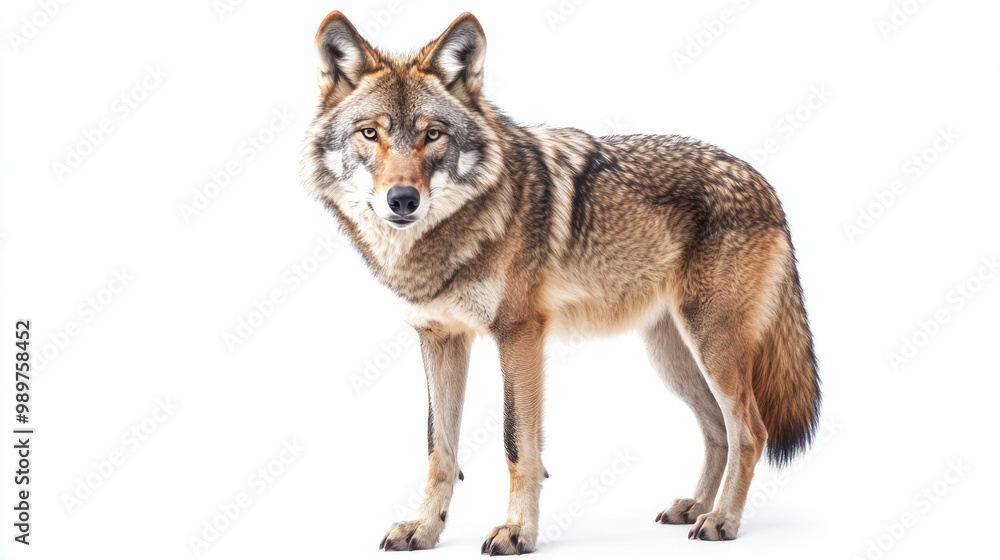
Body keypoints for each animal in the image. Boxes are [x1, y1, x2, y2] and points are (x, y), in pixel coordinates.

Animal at [302, 11, 820, 554]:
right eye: (369, 133)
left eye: (433, 134)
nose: (402, 199)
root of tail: (767, 186)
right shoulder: (439, 338)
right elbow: (438, 450)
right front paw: (425, 528)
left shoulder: (519, 336)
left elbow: (516, 445)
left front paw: (517, 531)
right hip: (672, 356)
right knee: (718, 429)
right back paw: (696, 507)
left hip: (711, 347)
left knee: (751, 431)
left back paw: (722, 520)